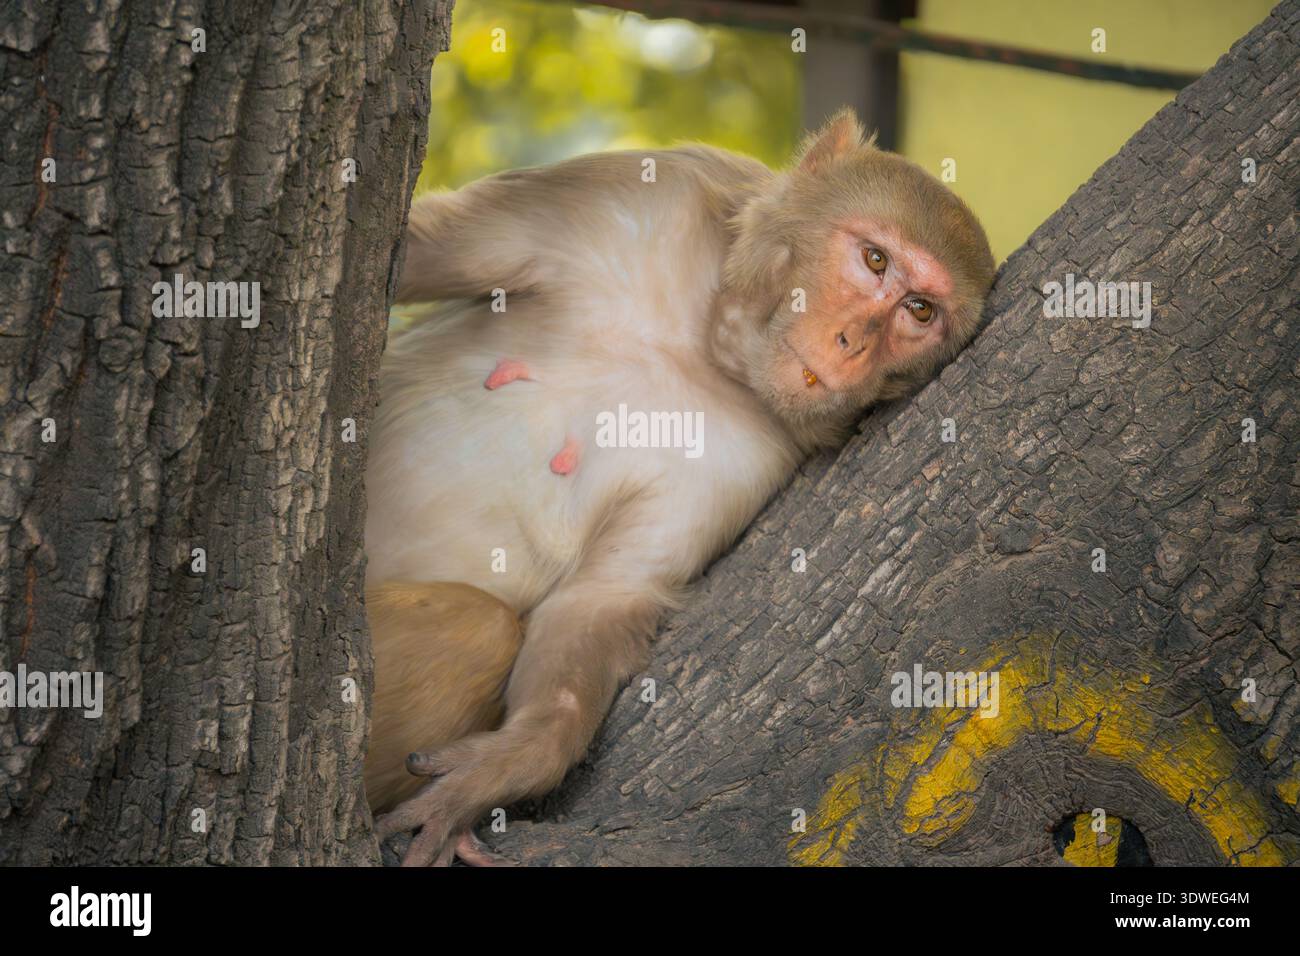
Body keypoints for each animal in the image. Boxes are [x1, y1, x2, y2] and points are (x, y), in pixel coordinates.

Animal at [364, 108, 996, 866]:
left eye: (920, 311)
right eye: (875, 260)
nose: (852, 341)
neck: (703, 344)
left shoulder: (748, 463)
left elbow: (603, 597)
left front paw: (518, 759)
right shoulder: (630, 197)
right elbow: (419, 249)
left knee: (480, 630)